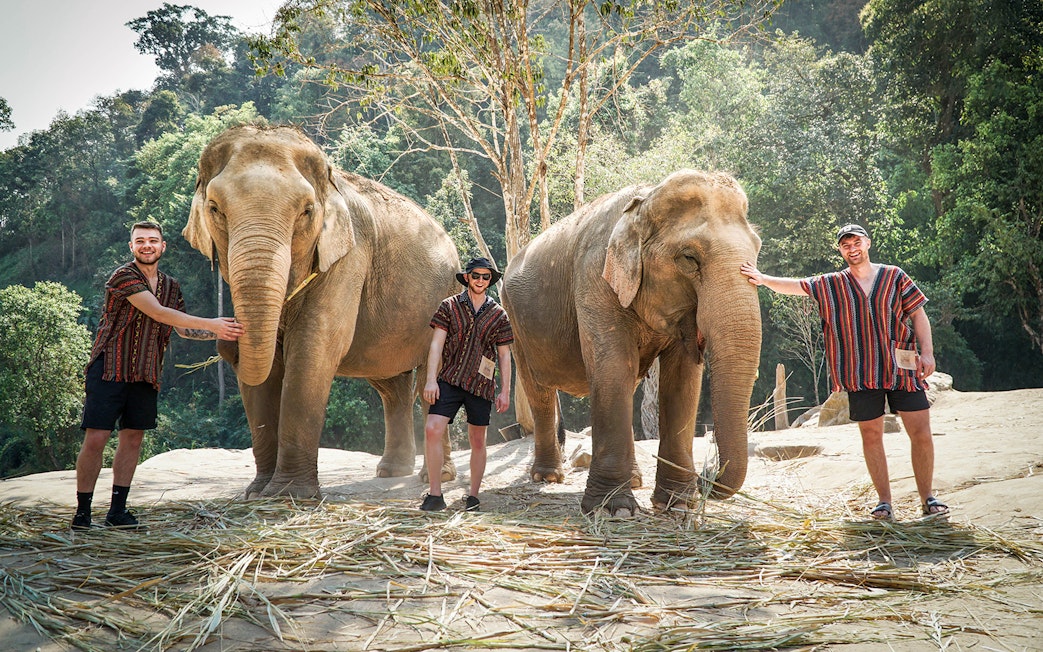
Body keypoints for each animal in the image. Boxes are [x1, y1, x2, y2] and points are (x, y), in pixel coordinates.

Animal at [183, 125, 460, 499]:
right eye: (214, 208)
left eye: (306, 211)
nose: (227, 345)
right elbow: (268, 368)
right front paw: (257, 493)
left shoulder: (349, 256)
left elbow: (313, 347)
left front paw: (288, 495)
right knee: (391, 385)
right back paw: (391, 472)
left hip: (448, 296)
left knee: (430, 379)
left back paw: (435, 477)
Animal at [502, 169, 762, 515]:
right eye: (689, 258)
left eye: (757, 250)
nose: (707, 475)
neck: (646, 200)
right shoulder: (594, 277)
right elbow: (613, 367)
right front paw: (613, 509)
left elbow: (682, 380)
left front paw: (678, 504)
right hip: (516, 322)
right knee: (538, 390)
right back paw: (549, 477)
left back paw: (636, 481)